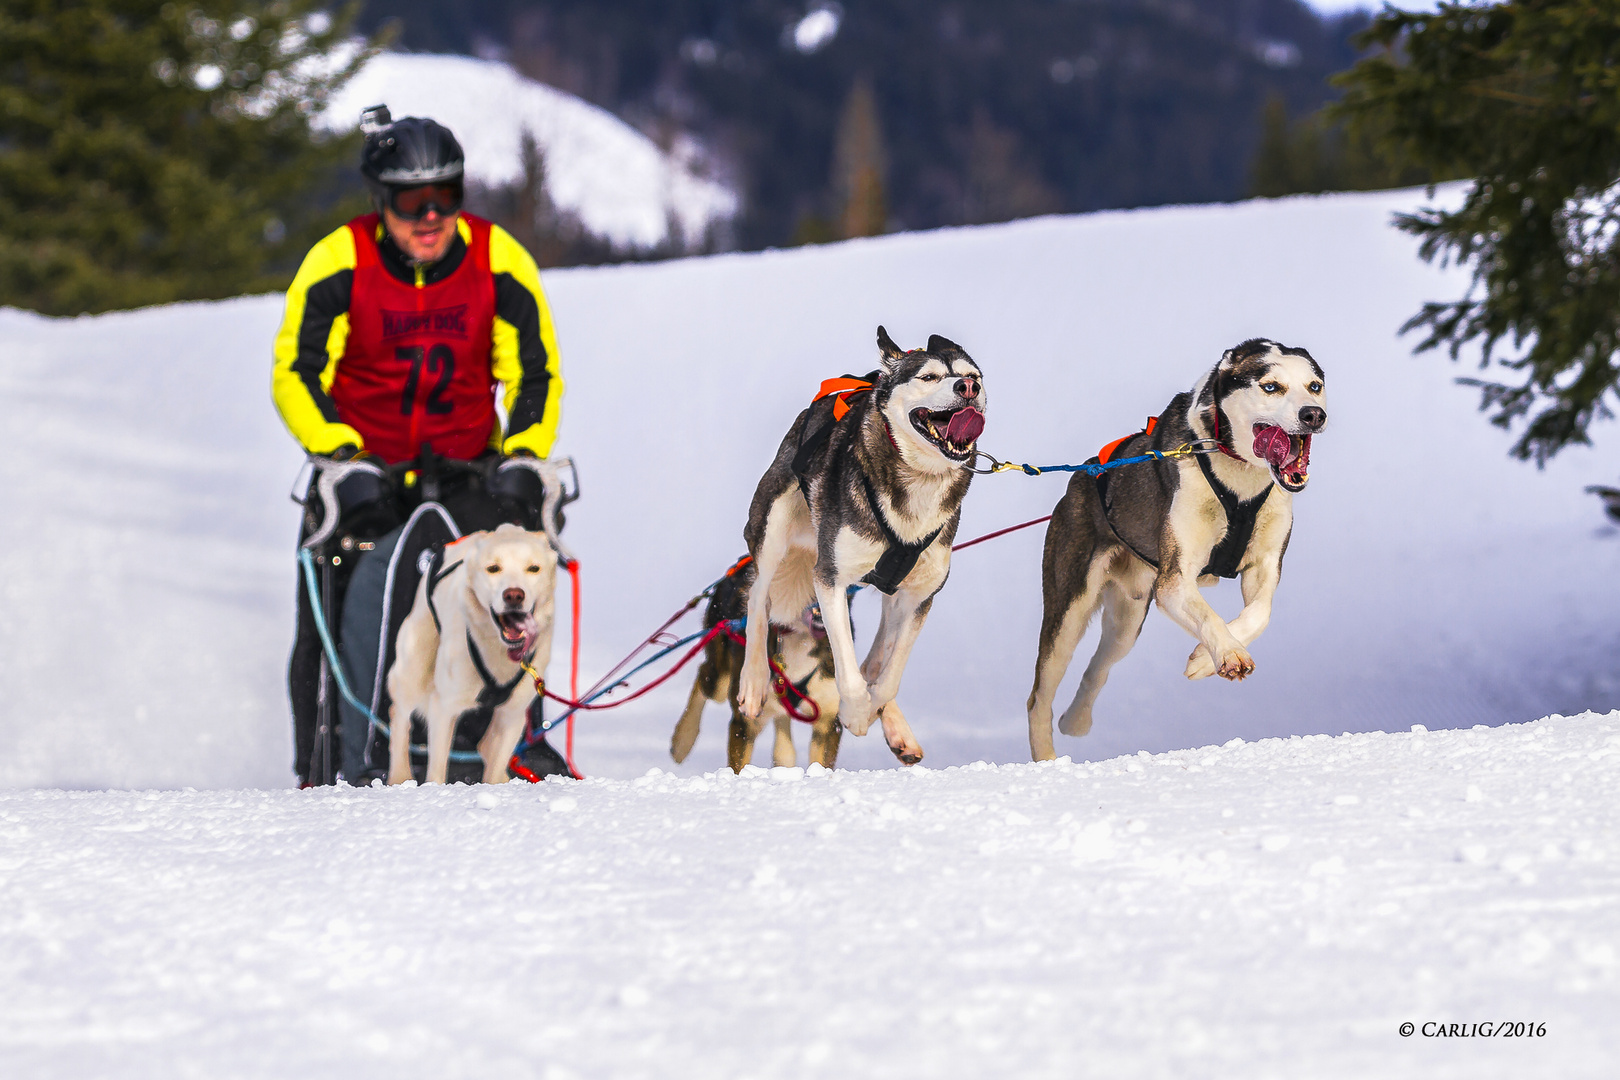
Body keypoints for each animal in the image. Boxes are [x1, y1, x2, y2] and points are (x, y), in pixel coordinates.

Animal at [383, 524, 557, 786]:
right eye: (493, 568)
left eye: (533, 568)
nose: (514, 595)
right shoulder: (444, 707)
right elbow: (437, 770)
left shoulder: (512, 714)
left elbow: (493, 769)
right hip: (413, 669)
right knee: (400, 716)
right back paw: (400, 776)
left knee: (486, 746)